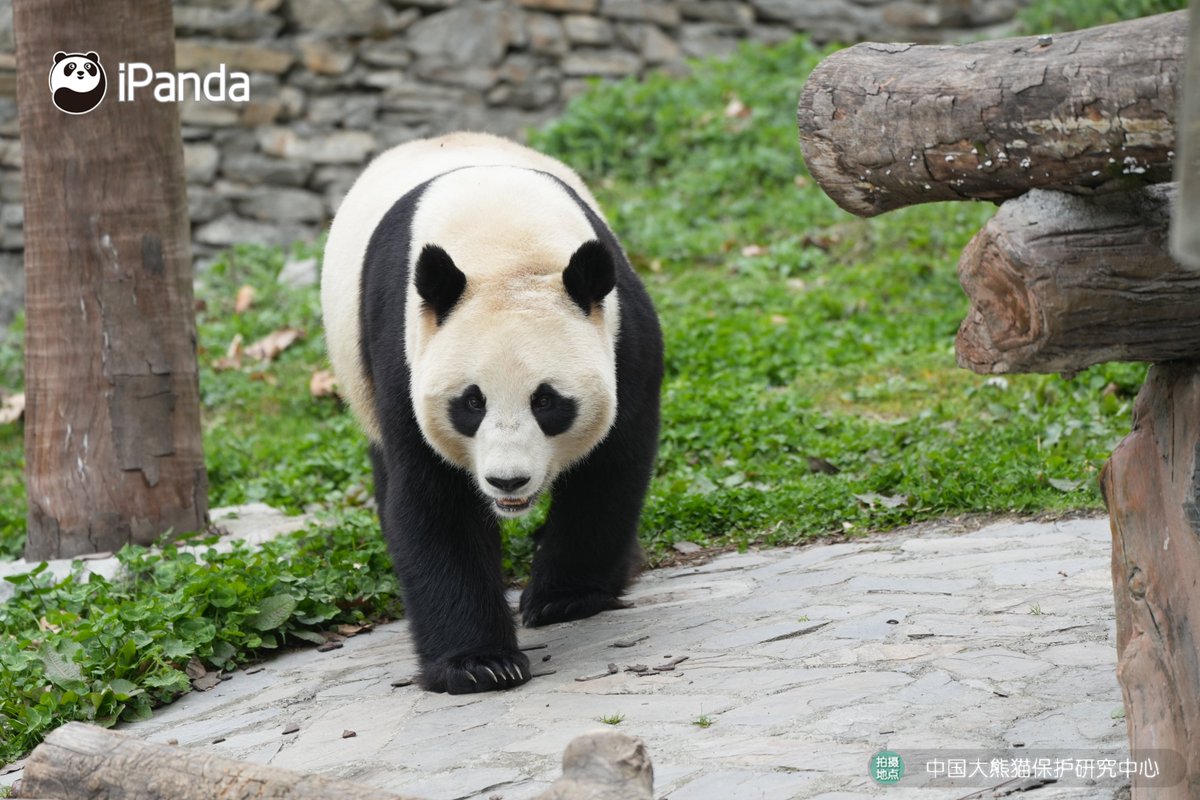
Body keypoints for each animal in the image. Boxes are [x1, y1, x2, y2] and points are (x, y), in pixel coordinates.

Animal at [322, 132, 663, 694]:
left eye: (546, 401)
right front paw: (480, 664)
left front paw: (565, 598)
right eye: (471, 402)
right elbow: (436, 500)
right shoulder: (405, 352)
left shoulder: (621, 335)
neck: (505, 252)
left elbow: (609, 466)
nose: (508, 481)